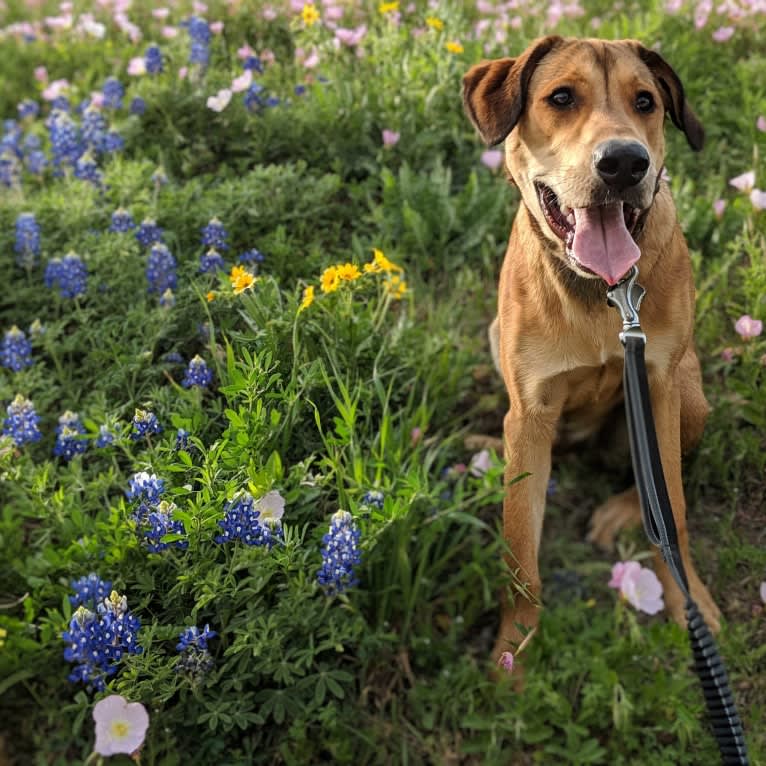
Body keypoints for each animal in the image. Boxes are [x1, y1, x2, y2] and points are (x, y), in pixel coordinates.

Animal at [462, 36, 728, 664]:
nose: (625, 162)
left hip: (691, 396)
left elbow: (675, 512)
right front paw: (513, 656)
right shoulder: (532, 408)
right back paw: (485, 449)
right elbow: (519, 554)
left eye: (645, 101)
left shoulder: (658, 387)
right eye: (561, 98)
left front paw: (687, 600)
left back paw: (620, 510)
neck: (604, 293)